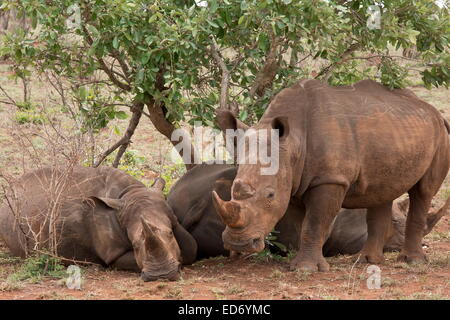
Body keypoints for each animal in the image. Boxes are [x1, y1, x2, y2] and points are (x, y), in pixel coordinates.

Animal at [0, 166, 197, 282]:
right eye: (134, 245)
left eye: (170, 233)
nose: (161, 276)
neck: (130, 193)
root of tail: (10, 190)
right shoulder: (111, 251)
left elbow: (191, 248)